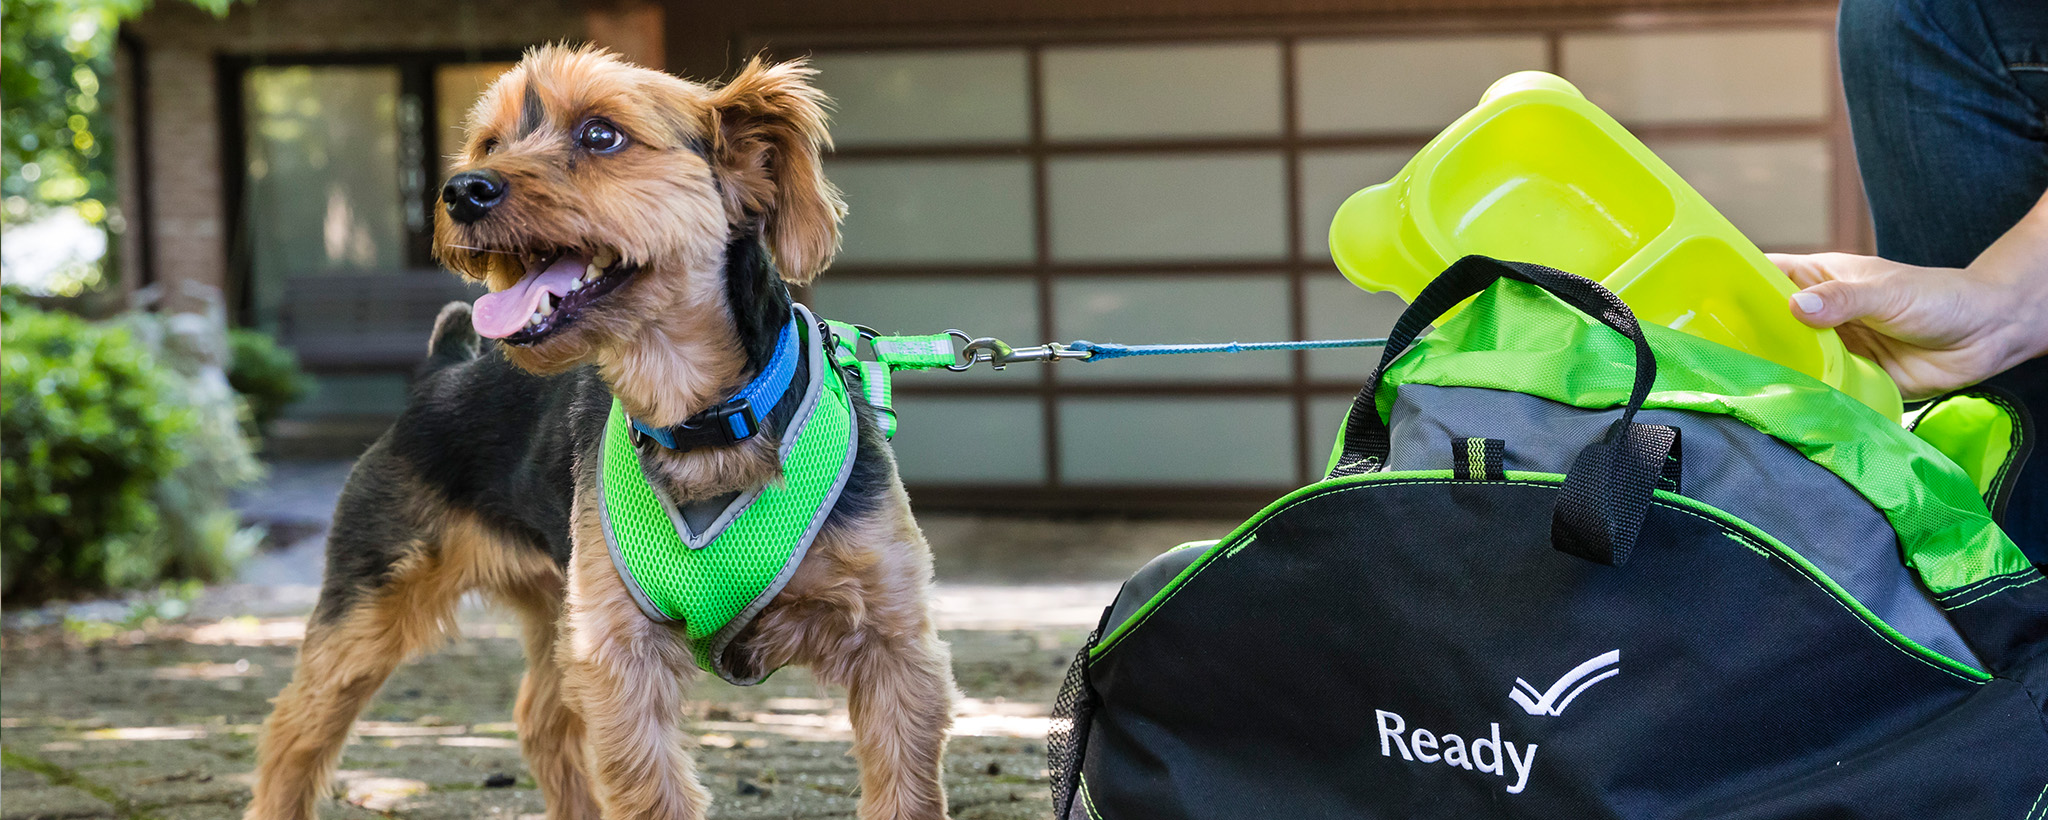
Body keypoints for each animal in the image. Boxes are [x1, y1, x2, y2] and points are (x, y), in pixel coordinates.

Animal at [243, 46, 962, 820]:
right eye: (489, 143)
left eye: (601, 135)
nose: (461, 190)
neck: (700, 421)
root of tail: (443, 370)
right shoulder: (619, 650)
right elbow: (651, 786)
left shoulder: (892, 641)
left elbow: (905, 785)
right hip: (372, 598)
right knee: (297, 726)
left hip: (550, 604)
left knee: (538, 717)